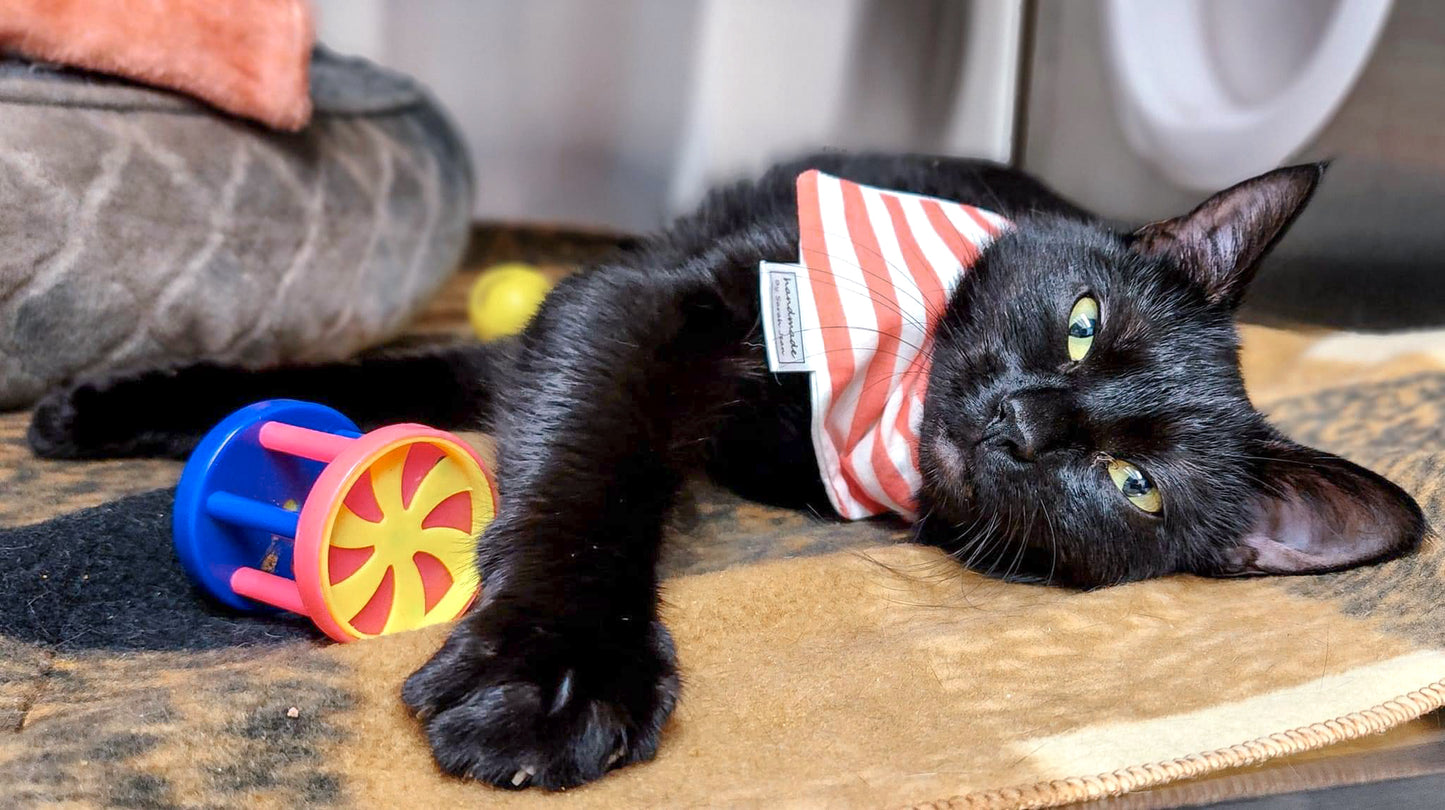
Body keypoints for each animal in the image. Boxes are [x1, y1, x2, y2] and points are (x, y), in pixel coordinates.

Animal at [25, 153, 1421, 791]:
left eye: (1131, 484)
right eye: (1082, 323)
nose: (1025, 422)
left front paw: (553, 673)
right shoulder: (638, 299)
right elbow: (587, 459)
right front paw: (553, 666)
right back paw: (106, 405)